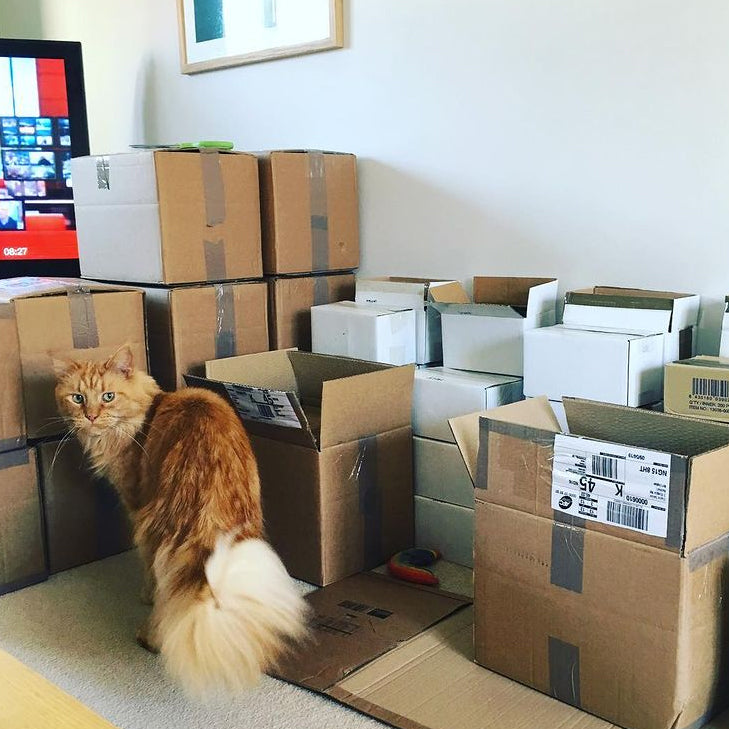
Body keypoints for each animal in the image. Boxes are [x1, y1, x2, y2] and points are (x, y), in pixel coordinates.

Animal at [53, 344, 308, 696]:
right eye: (78, 398)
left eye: (107, 396)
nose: (90, 416)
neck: (145, 414)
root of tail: (210, 510)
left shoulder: (134, 501)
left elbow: (148, 575)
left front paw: (144, 596)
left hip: (151, 530)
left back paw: (149, 636)